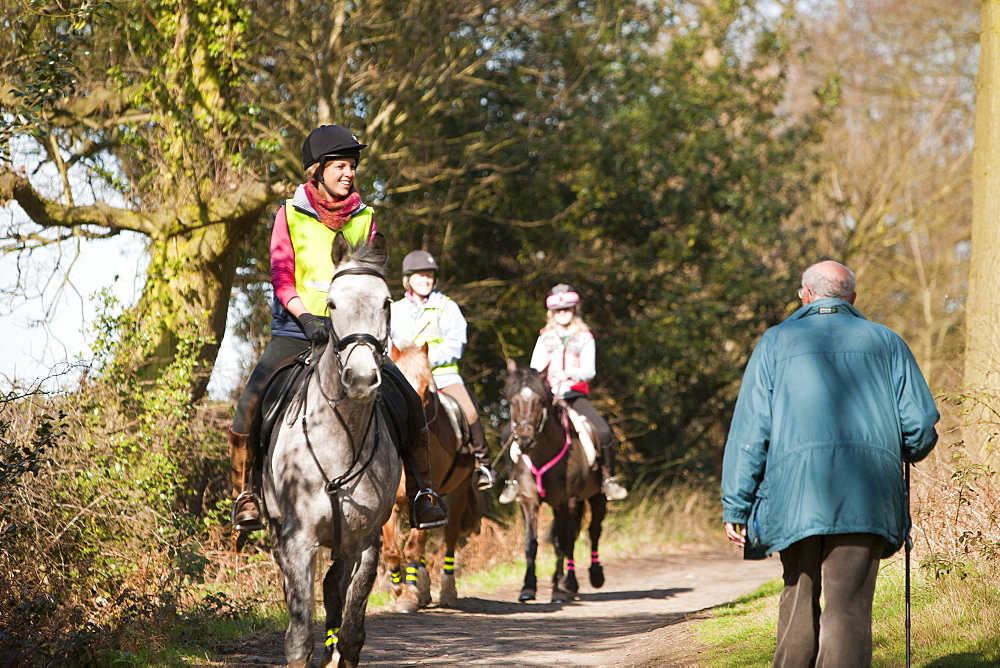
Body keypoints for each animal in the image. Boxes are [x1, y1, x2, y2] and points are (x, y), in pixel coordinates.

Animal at [266, 232, 406, 664]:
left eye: (386, 303)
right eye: (331, 304)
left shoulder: (366, 542)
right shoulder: (298, 540)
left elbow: (352, 631)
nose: (361, 379)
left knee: (332, 588)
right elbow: (298, 635)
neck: (341, 439)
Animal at [378, 342, 480, 612]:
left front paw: (408, 596)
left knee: (450, 539)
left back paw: (447, 592)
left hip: (456, 494)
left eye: (427, 389)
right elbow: (392, 551)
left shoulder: (429, 498)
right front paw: (398, 589)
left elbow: (414, 548)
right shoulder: (393, 504)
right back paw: (423, 592)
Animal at [504, 360, 604, 604]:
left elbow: (562, 543)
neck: (543, 453)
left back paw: (591, 576)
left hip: (596, 496)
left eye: (540, 401)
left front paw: (558, 590)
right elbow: (531, 543)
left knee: (593, 531)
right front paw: (528, 588)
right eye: (512, 401)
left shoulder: (566, 502)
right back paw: (571, 584)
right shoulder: (529, 501)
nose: (524, 440)